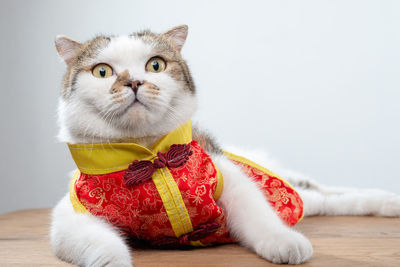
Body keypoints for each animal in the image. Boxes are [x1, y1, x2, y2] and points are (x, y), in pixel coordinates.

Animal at [50, 24, 400, 266]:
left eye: (155, 65)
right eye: (102, 71)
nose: (134, 82)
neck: (151, 156)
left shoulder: (230, 178)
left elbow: (258, 216)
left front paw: (285, 243)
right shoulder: (71, 216)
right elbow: (96, 242)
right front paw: (114, 259)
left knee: (320, 194)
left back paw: (388, 202)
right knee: (326, 198)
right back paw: (388, 202)